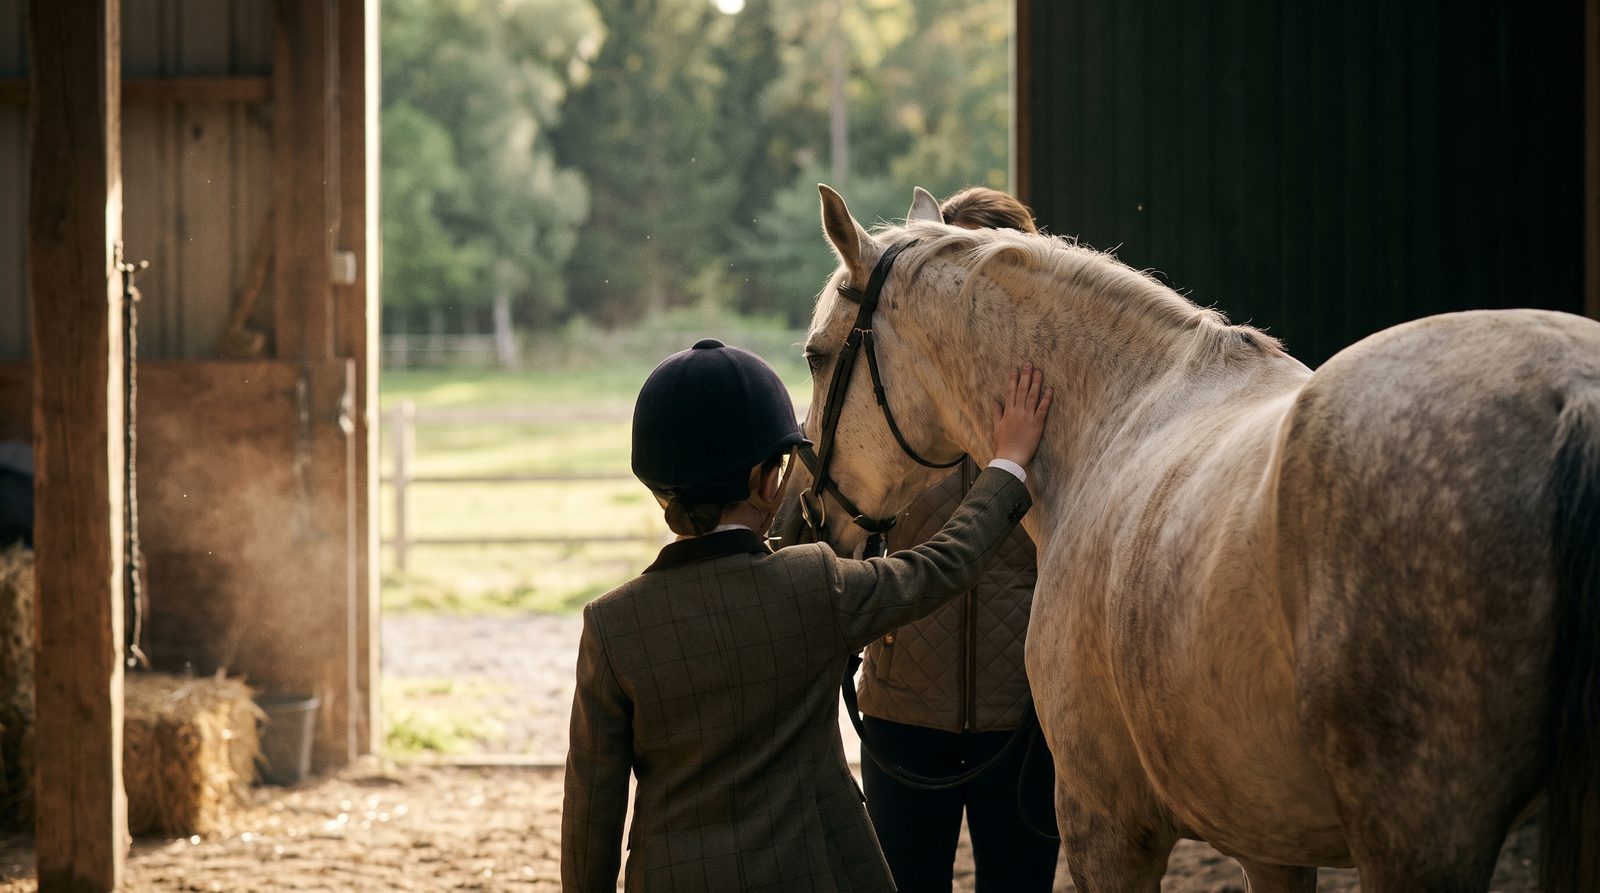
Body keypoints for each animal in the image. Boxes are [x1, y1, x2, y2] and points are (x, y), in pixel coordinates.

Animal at [780, 184, 1600, 892]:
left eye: (816, 355)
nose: (801, 520)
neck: (1114, 415)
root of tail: (1572, 399)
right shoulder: (1267, 834)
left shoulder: (1105, 825)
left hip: (1417, 837)